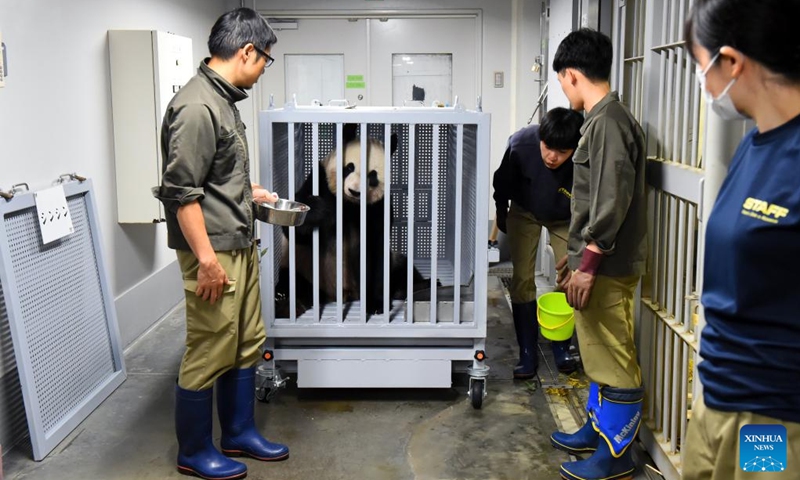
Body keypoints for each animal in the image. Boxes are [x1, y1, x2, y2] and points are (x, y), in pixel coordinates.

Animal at [274, 124, 424, 318]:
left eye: (372, 176)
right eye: (349, 168)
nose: (355, 191)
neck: (350, 204)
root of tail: (339, 295)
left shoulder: (378, 207)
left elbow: (377, 248)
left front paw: (376, 303)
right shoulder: (319, 180)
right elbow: (297, 229)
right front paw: (319, 210)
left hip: (392, 264)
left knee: (403, 270)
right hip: (302, 267)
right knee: (292, 280)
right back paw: (284, 300)